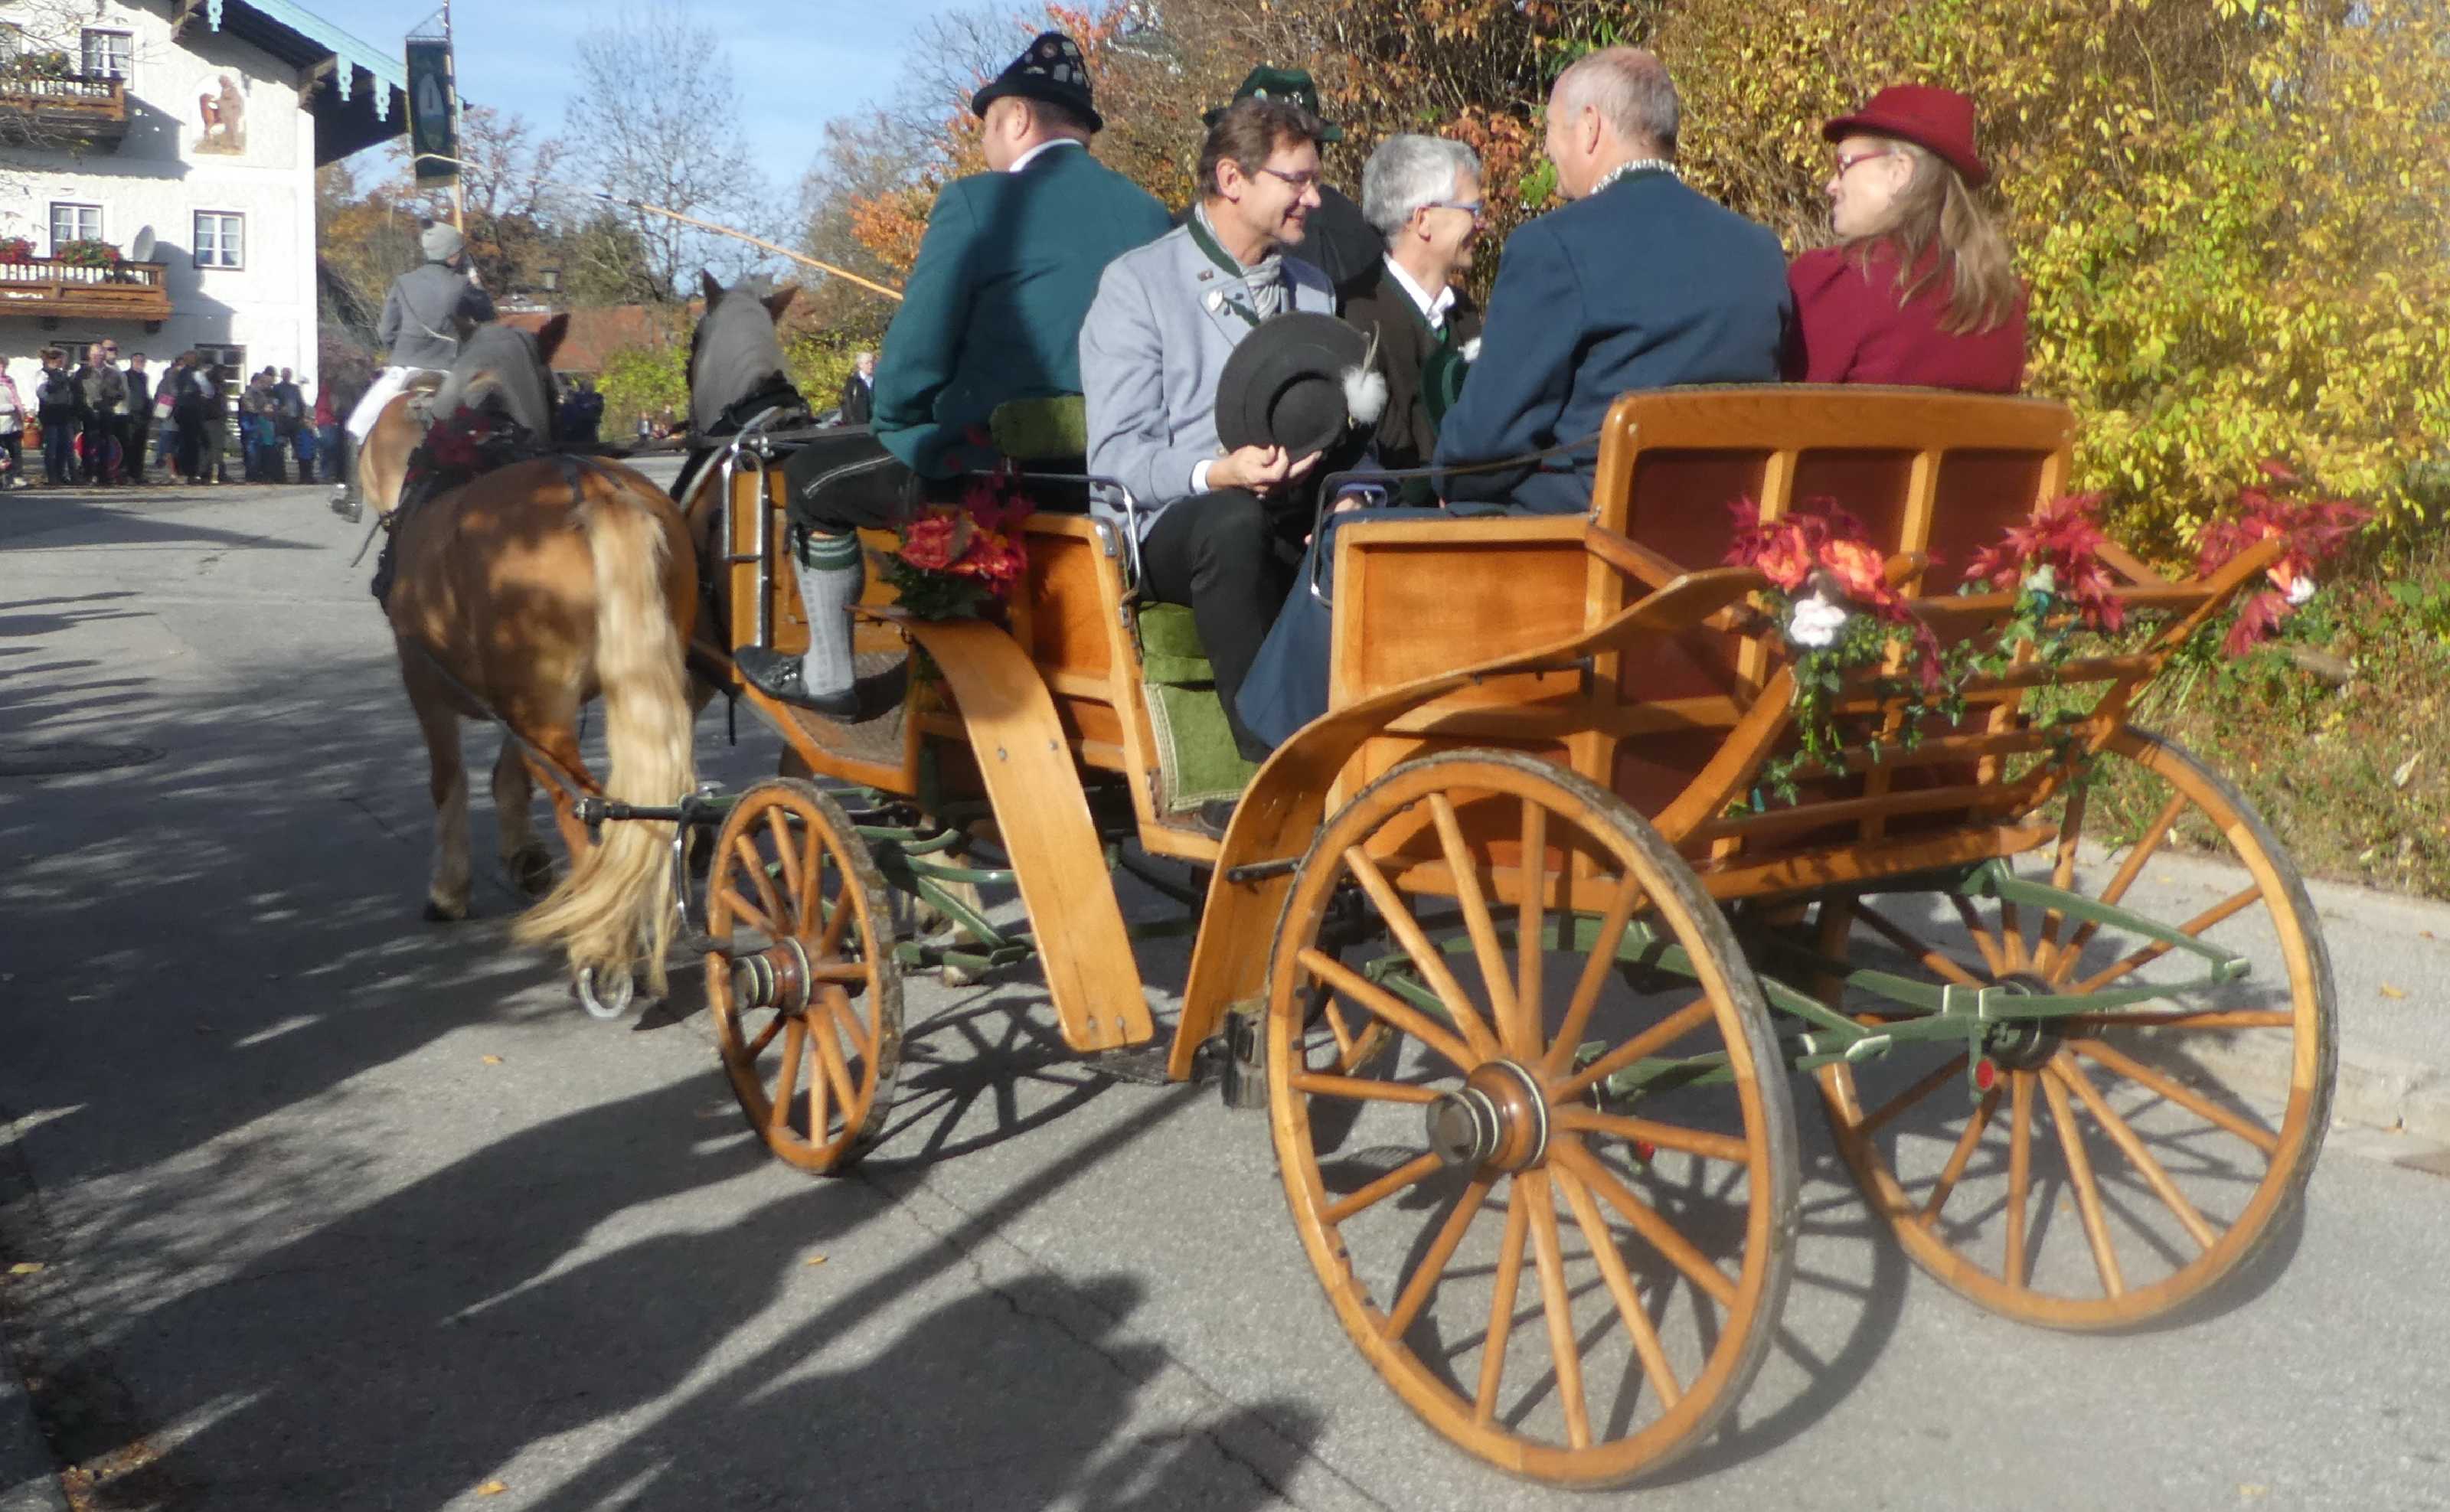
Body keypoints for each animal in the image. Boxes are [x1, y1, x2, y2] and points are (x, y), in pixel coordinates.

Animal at [364, 314, 701, 1005]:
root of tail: (594, 491)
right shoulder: (519, 708)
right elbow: (507, 774)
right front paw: (524, 858)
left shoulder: (424, 683)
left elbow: (449, 781)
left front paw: (449, 889)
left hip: (540, 715)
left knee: (593, 813)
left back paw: (600, 950)